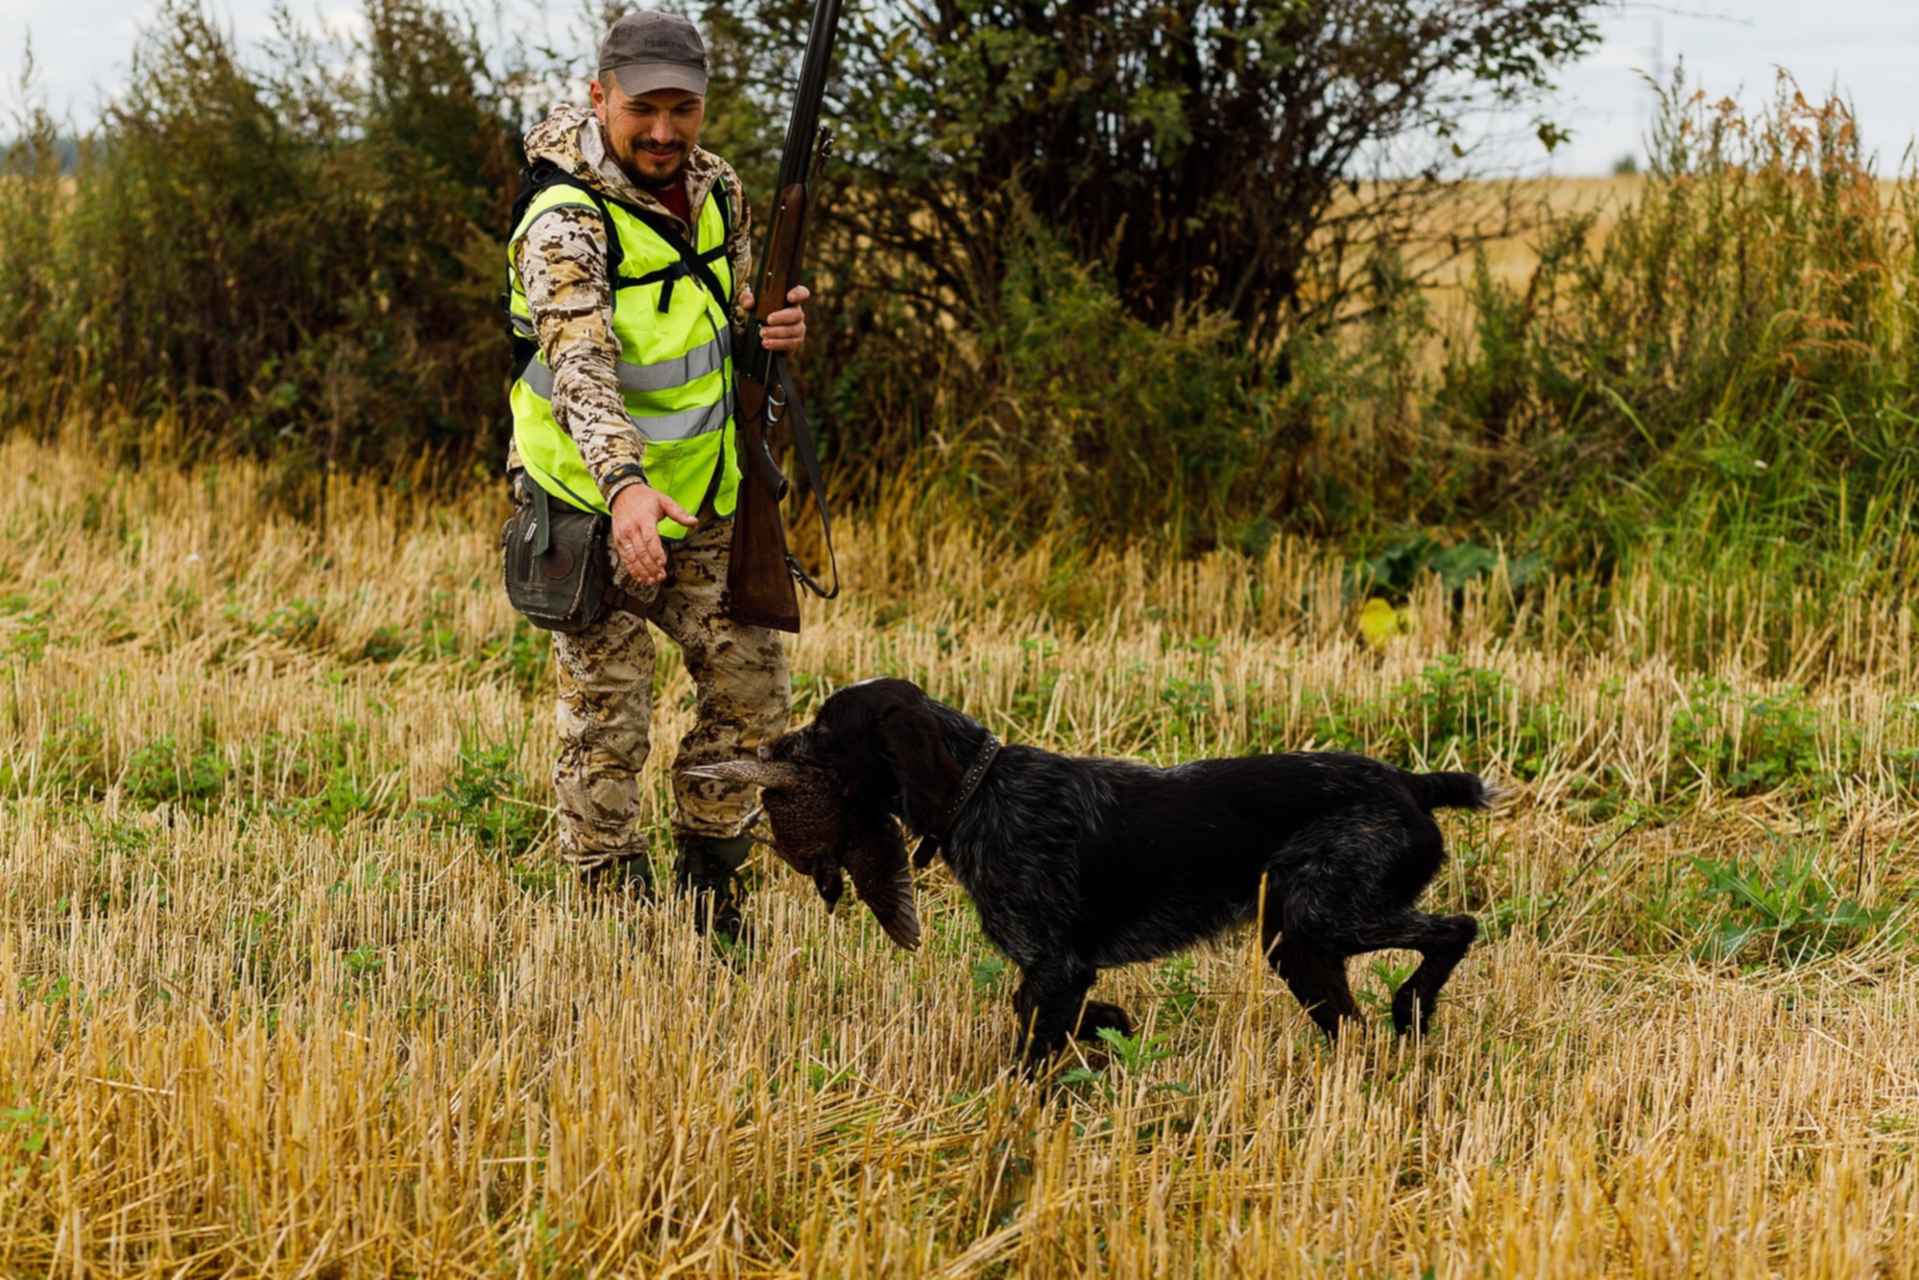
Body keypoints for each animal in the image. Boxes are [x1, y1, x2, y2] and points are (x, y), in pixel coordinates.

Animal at [771, 679, 1489, 1059]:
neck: (982, 795)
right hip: (1296, 939)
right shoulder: (1058, 971)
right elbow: (1044, 1009)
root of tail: (1410, 784)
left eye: (825, 729)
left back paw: (1412, 1006)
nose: (772, 746)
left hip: (1323, 915)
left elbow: (1030, 1040)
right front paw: (1111, 1022)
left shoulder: (1059, 964)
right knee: (1347, 1021)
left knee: (1457, 927)